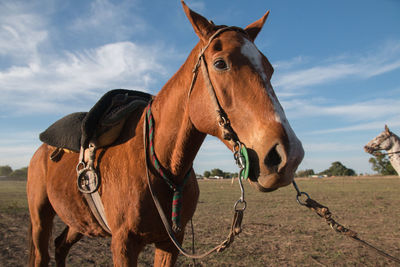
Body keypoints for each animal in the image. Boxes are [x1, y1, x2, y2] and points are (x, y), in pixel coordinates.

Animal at [27, 1, 304, 266]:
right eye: (220, 63)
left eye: (270, 69)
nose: (288, 156)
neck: (161, 164)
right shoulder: (123, 244)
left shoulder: (171, 243)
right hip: (40, 217)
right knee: (42, 255)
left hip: (79, 221)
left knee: (61, 246)